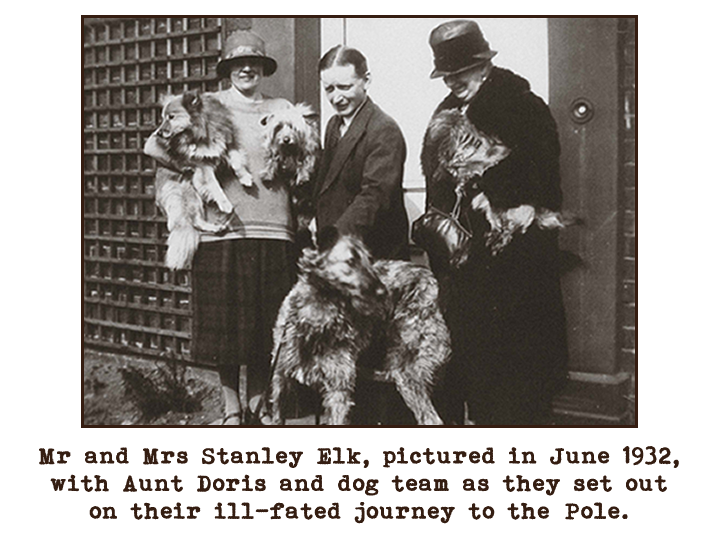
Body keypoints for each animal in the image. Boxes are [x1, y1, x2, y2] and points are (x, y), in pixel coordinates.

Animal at [266, 228, 450, 426]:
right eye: (350, 261)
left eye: (369, 260)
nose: (383, 292)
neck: (316, 318)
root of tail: (429, 282)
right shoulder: (280, 379)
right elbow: (278, 416)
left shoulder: (339, 389)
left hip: (408, 373)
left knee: (431, 419)